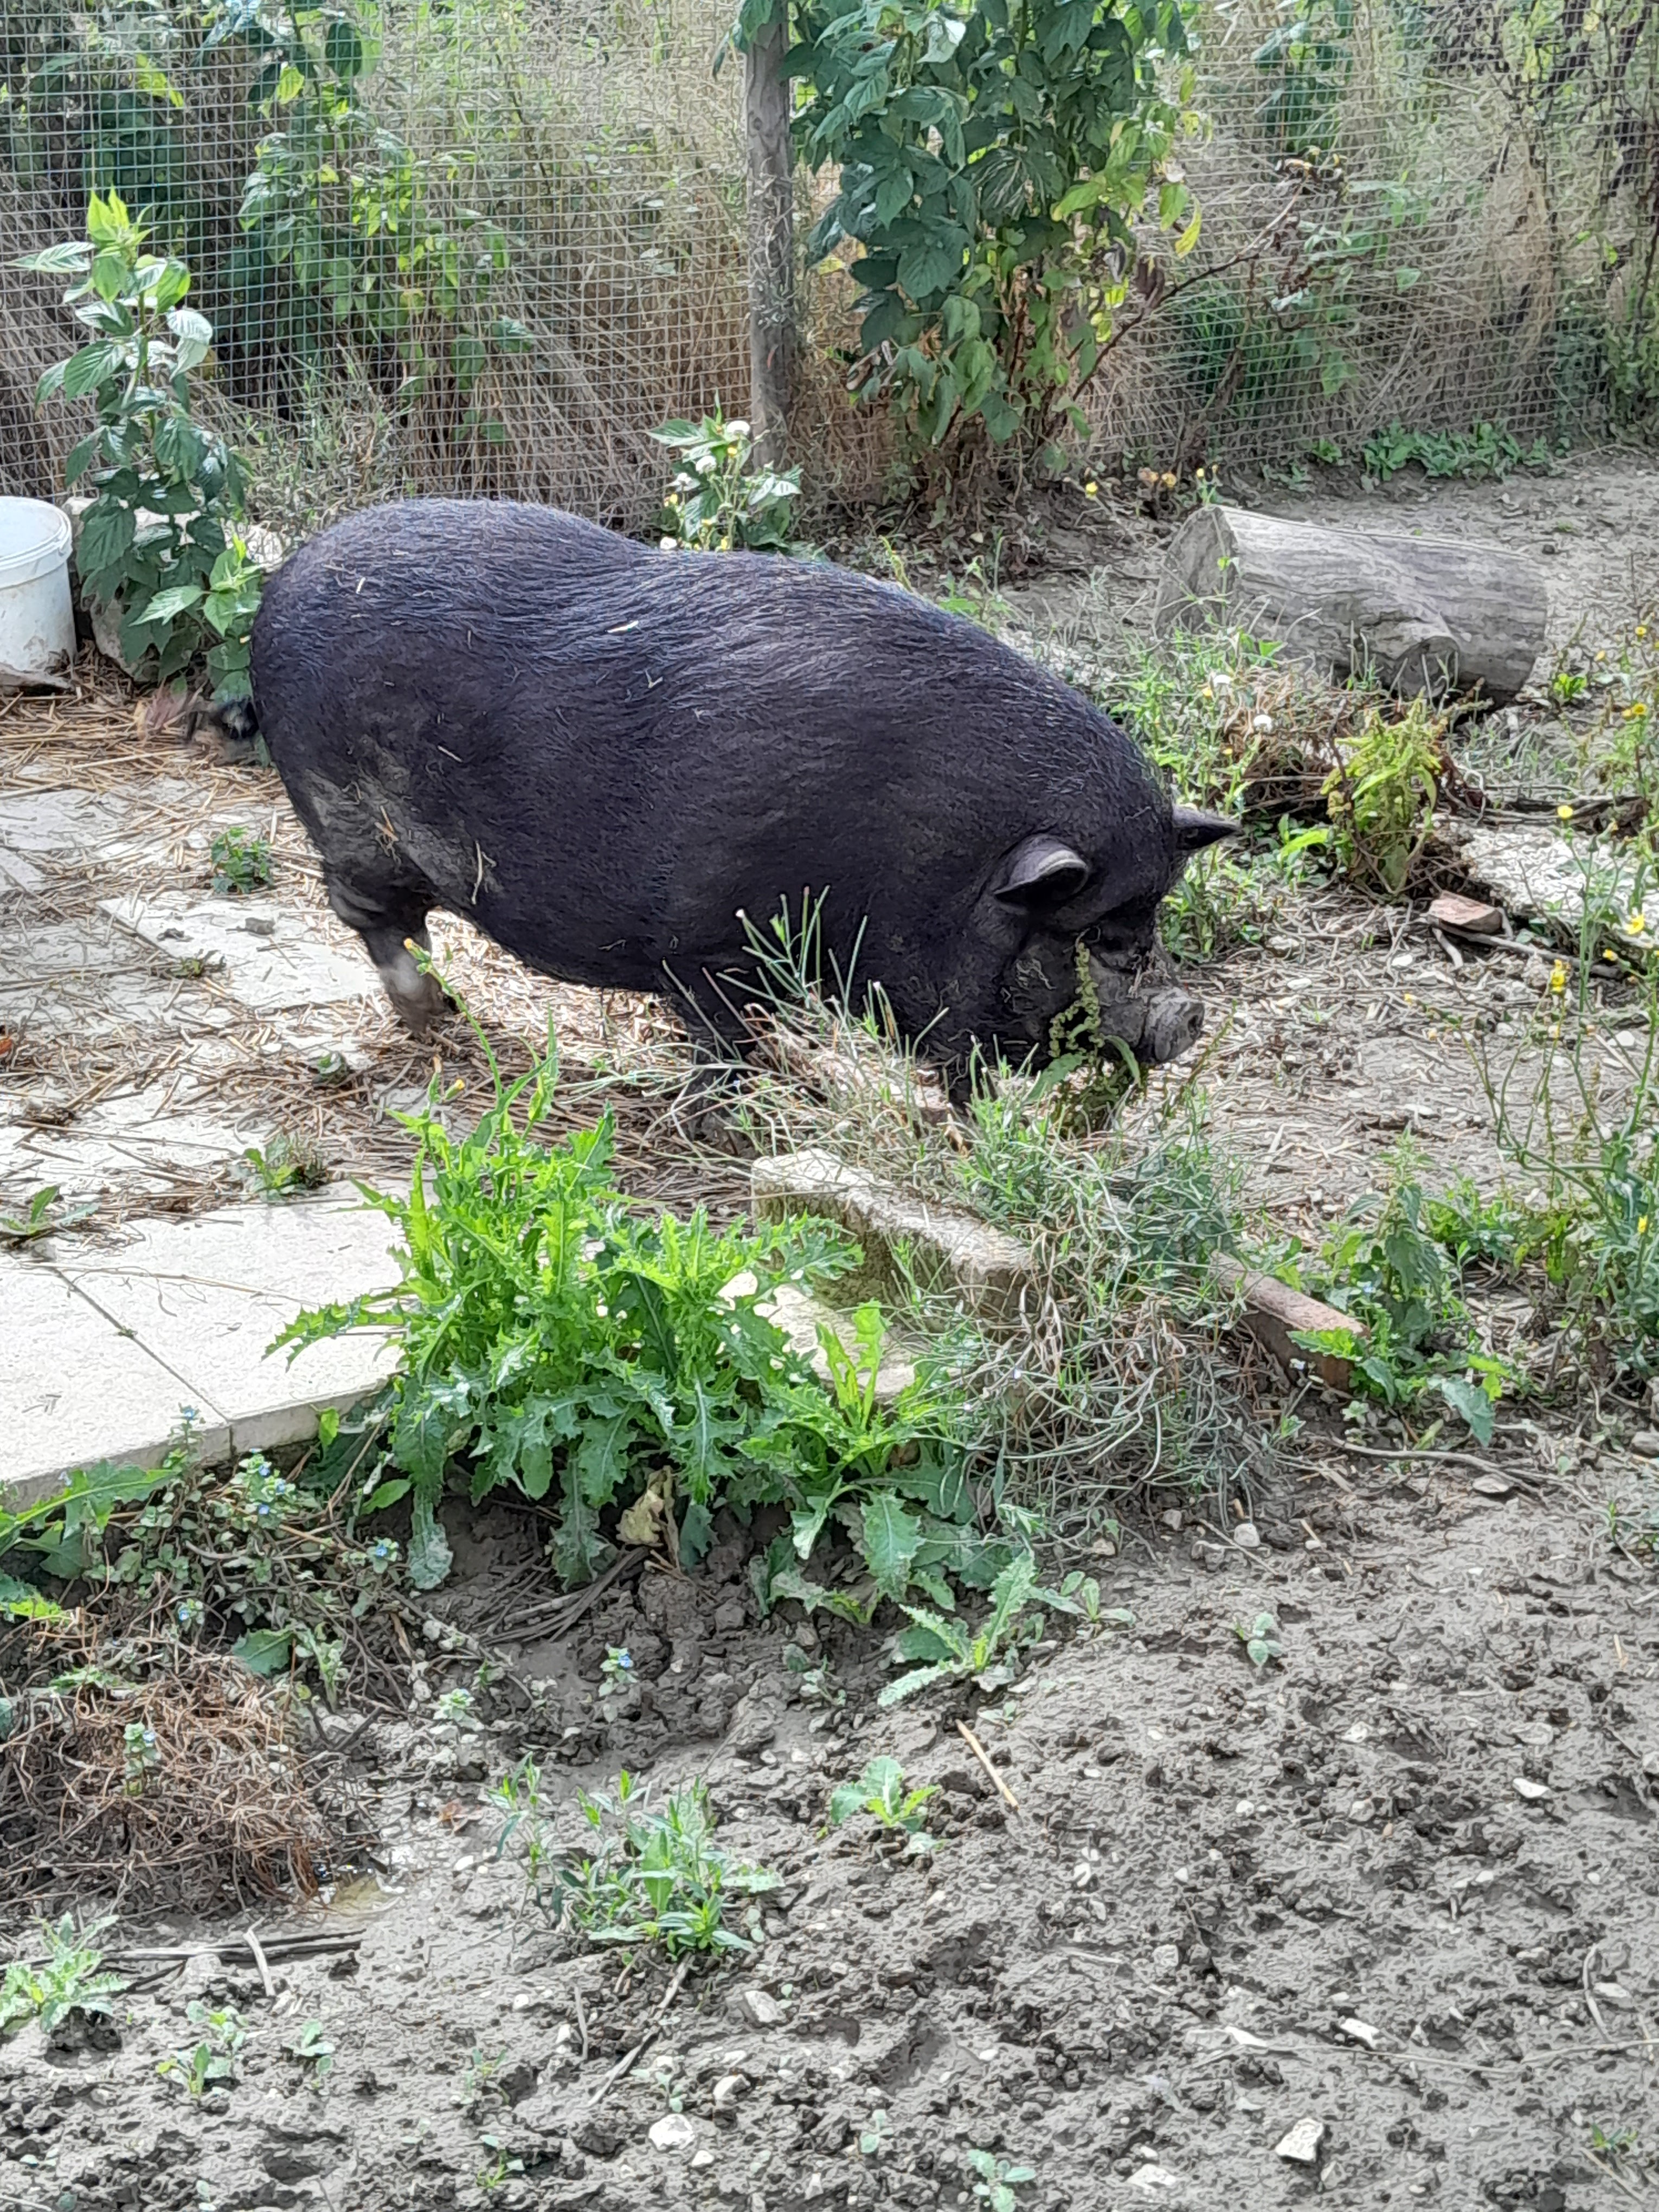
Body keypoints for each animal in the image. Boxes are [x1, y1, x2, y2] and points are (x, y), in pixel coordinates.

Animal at [244, 500, 1231, 1088]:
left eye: (1149, 925)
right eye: (1087, 935)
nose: (1189, 1017)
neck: (927, 859)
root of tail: (280, 582)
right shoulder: (705, 945)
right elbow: (723, 1040)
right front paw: (735, 1107)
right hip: (344, 814)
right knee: (373, 916)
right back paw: (433, 1018)